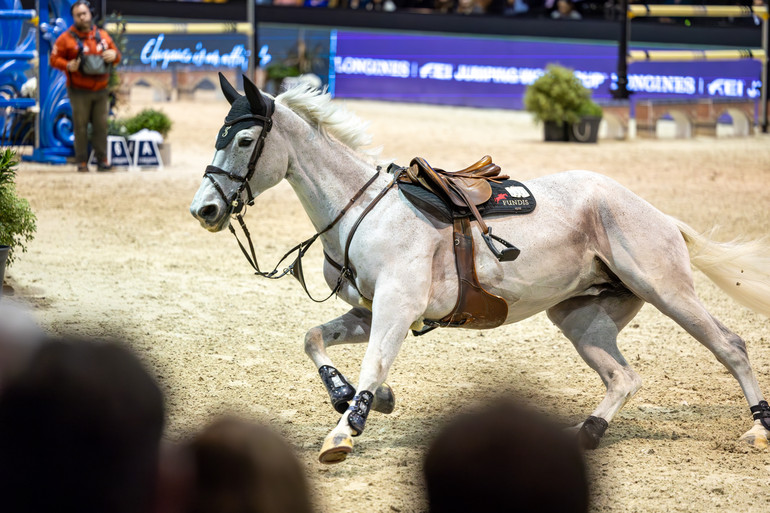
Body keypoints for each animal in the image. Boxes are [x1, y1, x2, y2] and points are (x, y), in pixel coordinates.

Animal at [188, 76, 768, 464]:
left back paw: (759, 429)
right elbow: (314, 339)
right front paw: (355, 398)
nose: (205, 210)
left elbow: (373, 365)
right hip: (582, 319)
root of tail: (658, 213)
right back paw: (587, 433)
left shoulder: (396, 310)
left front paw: (344, 430)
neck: (360, 211)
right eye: (218, 134)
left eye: (244, 140)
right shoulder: (369, 311)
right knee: (624, 377)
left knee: (731, 346)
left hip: (668, 290)